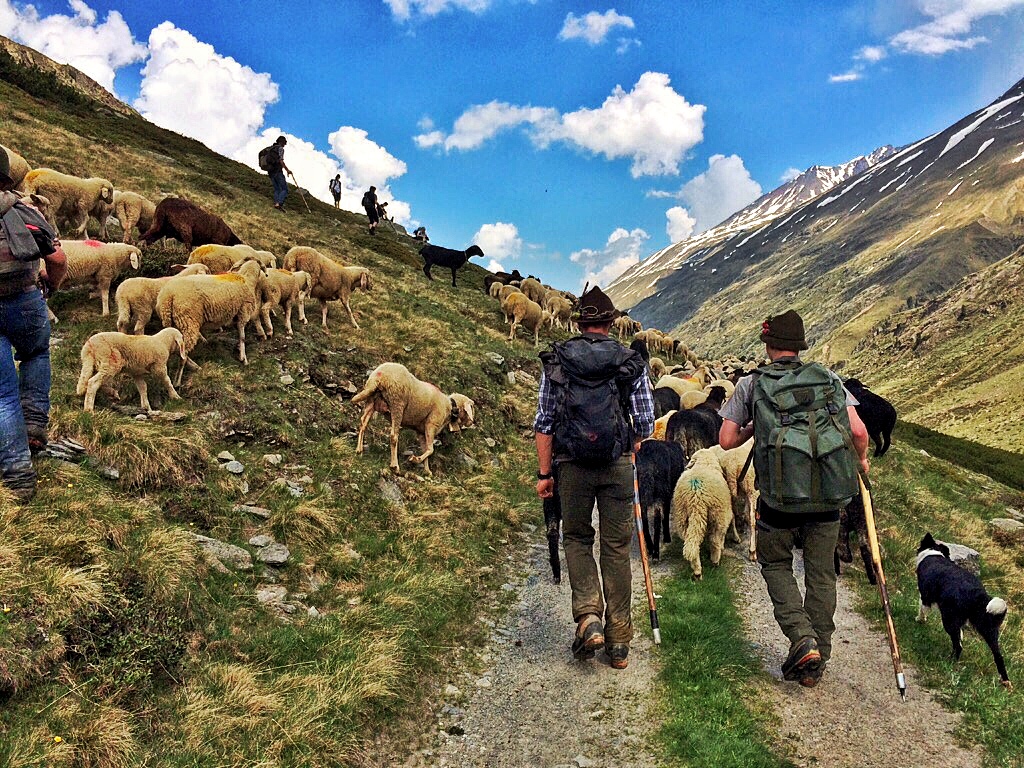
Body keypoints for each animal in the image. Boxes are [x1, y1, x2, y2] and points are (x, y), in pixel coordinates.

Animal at [671, 448, 737, 581]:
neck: (703, 463)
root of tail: (696, 495)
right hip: (718, 516)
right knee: (715, 539)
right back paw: (715, 561)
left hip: (682, 517)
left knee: (692, 544)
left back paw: (697, 571)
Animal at [917, 536, 1011, 692]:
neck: (934, 553)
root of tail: (977, 594)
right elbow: (960, 633)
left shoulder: (925, 595)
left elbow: (922, 608)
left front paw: (920, 620)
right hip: (988, 628)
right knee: (999, 656)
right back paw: (1005, 682)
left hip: (949, 618)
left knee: (958, 646)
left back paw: (950, 661)